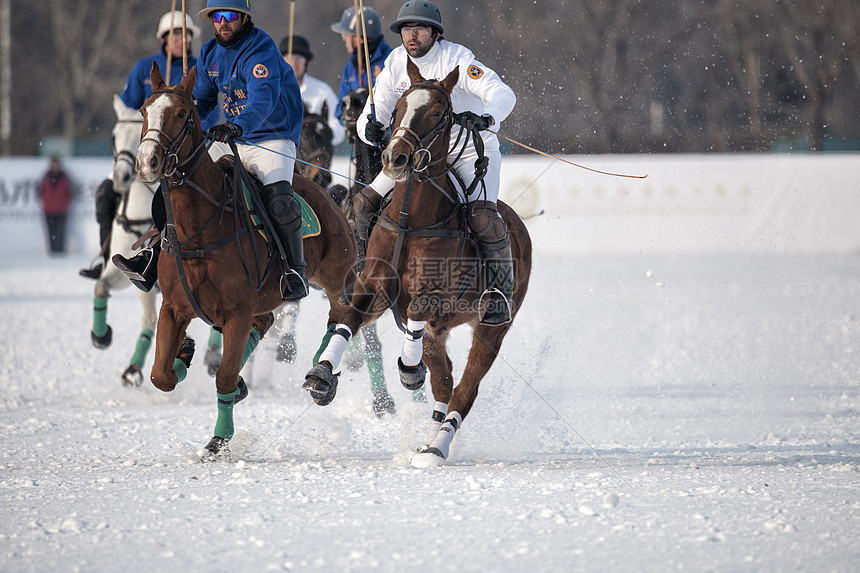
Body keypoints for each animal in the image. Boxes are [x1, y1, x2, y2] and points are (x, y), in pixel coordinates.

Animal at [137, 62, 356, 456]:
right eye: (145, 110)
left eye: (182, 113)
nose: (148, 162)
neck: (201, 229)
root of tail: (322, 188)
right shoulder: (174, 307)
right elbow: (161, 375)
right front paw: (184, 354)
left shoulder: (237, 312)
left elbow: (224, 377)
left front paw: (218, 440)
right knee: (267, 320)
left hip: (337, 276)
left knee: (341, 315)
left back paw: (322, 377)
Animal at [302, 60, 532, 466]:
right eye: (397, 108)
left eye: (440, 113)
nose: (395, 157)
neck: (412, 217)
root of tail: (518, 224)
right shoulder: (371, 288)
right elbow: (346, 322)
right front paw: (322, 375)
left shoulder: (434, 296)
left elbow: (416, 314)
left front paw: (410, 371)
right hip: (439, 334)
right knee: (445, 382)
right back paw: (429, 439)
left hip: (493, 327)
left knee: (465, 388)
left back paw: (437, 448)